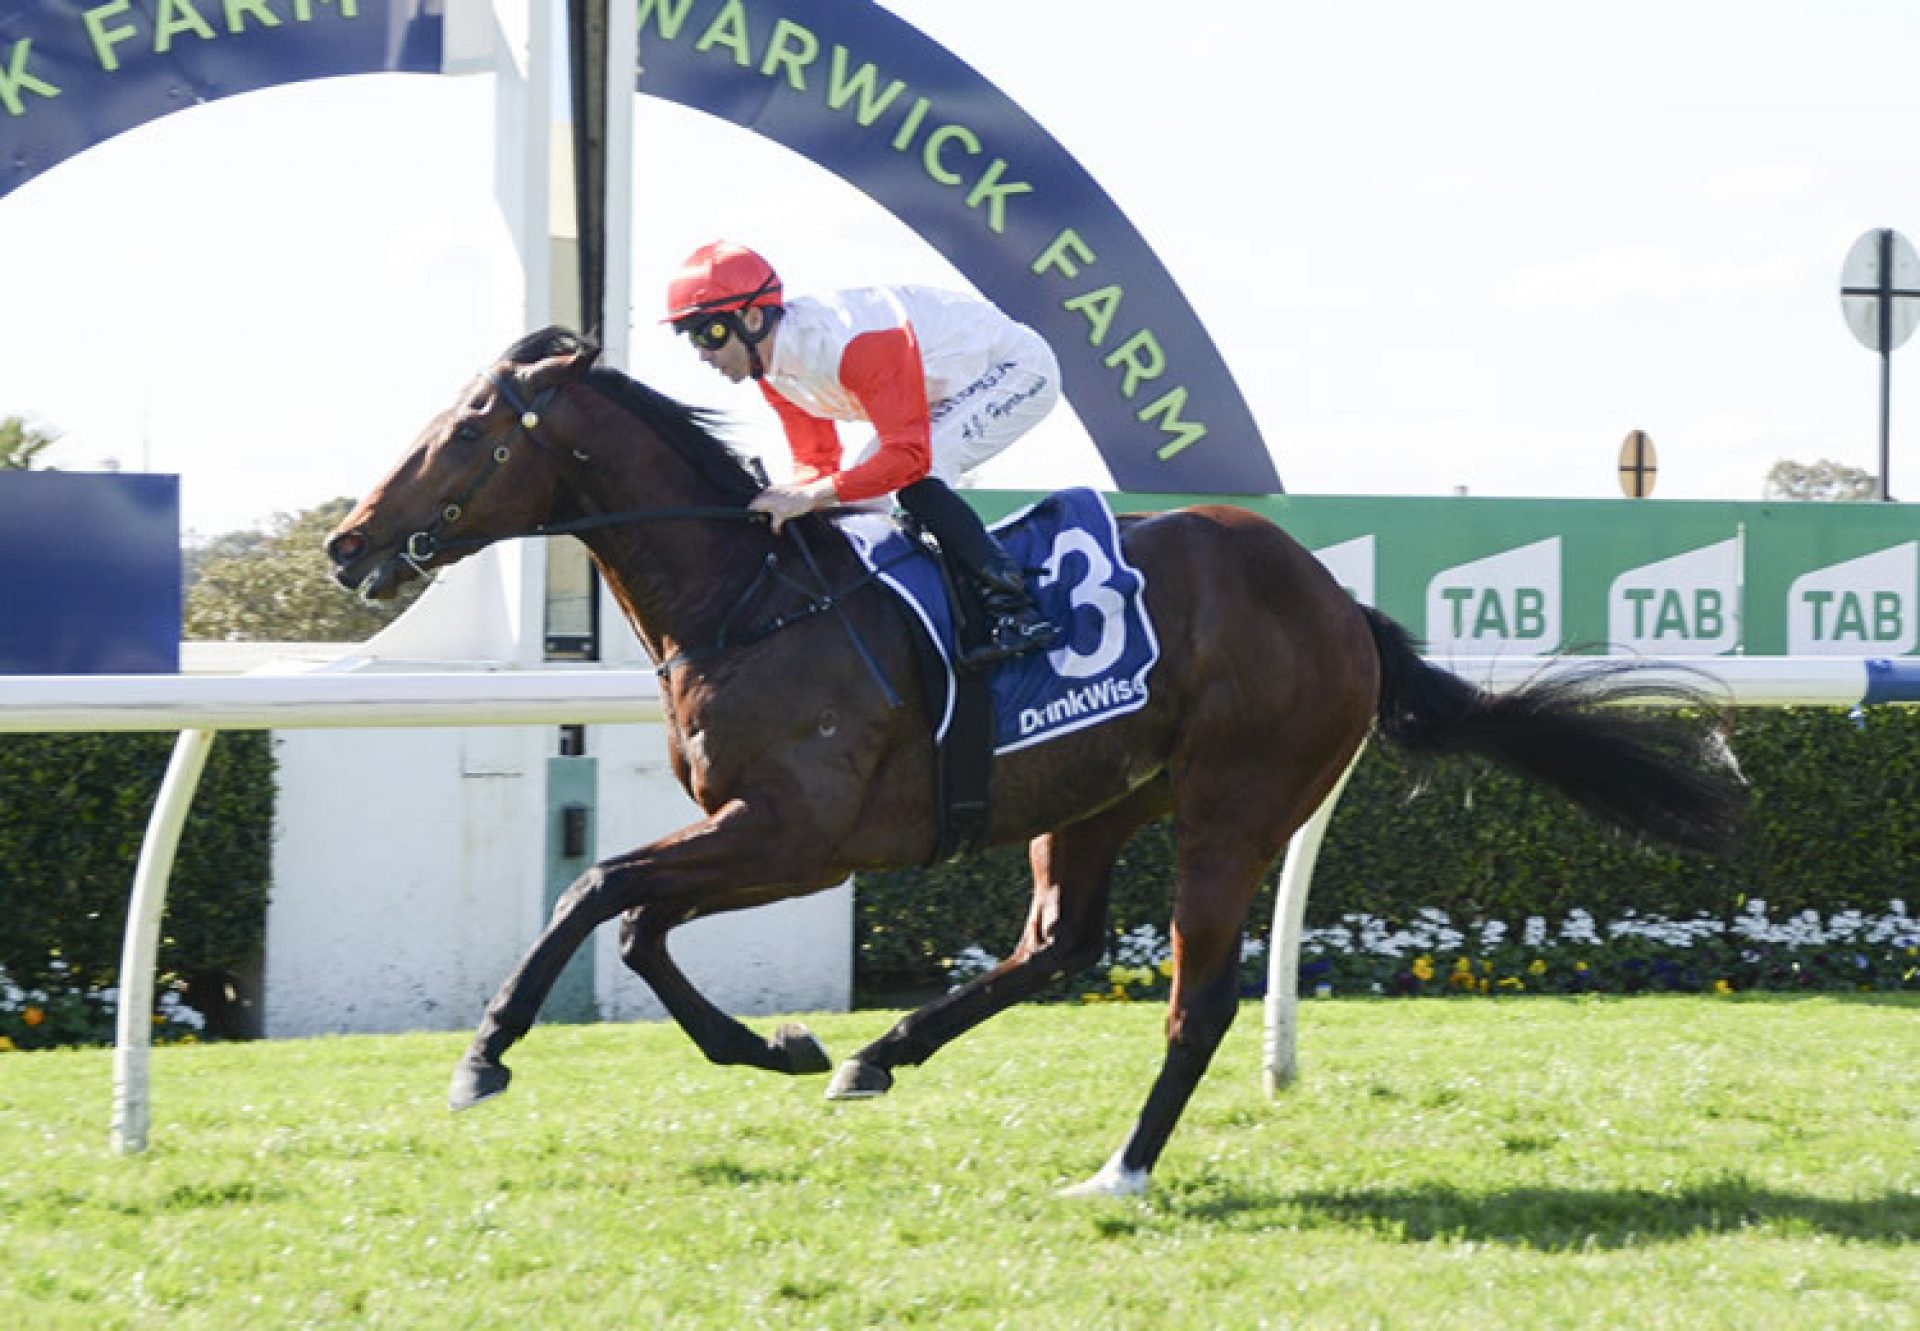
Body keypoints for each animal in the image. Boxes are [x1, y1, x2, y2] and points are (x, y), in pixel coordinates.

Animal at [326, 330, 1743, 1190]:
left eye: (467, 433)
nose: (348, 543)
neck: (756, 600)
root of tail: (1343, 607)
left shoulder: (798, 834)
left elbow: (598, 888)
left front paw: (484, 1053)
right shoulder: (753, 830)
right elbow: (631, 922)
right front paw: (783, 1046)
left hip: (1236, 804)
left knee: (1194, 999)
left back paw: (1121, 1166)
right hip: (1097, 792)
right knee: (1059, 941)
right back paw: (881, 1052)